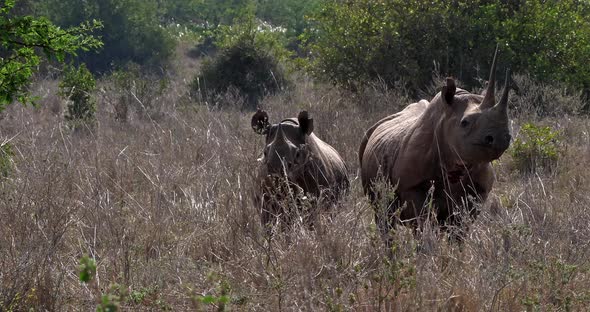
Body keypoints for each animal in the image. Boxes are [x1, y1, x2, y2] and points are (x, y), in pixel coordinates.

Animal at [360, 49, 512, 241]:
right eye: (465, 123)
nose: (501, 138)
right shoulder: (412, 186)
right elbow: (422, 224)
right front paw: (425, 246)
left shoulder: (478, 191)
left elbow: (459, 230)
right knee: (384, 217)